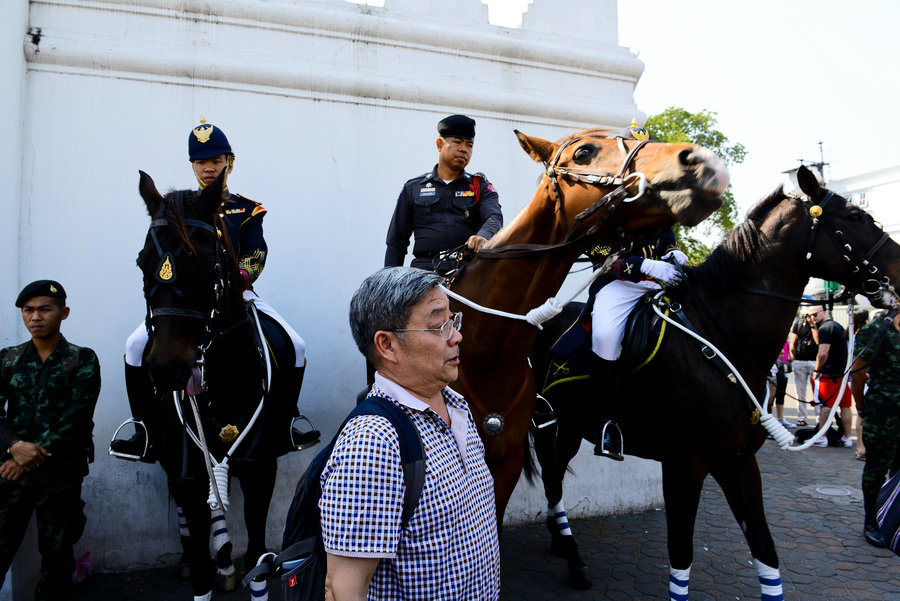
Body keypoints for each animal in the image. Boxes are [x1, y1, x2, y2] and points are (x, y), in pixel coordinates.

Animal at [528, 166, 900, 596]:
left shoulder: (737, 461)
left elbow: (766, 552)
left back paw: (561, 542)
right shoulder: (684, 464)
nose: (899, 274)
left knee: (555, 482)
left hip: (572, 427)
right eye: (855, 217)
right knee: (552, 483)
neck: (722, 336)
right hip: (551, 425)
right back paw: (573, 559)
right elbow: (681, 557)